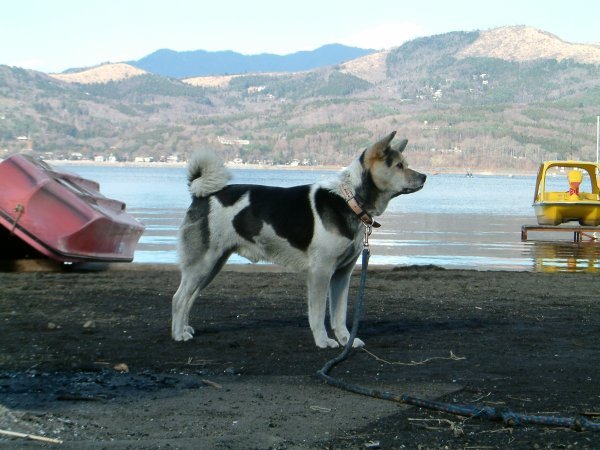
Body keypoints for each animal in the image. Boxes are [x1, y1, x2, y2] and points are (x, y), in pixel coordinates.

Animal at [171, 130, 426, 348]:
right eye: (399, 166)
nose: (424, 176)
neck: (349, 199)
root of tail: (202, 195)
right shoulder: (321, 272)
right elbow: (318, 314)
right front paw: (323, 341)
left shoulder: (342, 274)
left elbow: (340, 314)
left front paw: (346, 340)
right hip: (203, 263)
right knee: (179, 299)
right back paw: (178, 334)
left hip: (211, 265)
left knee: (189, 298)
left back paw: (185, 329)